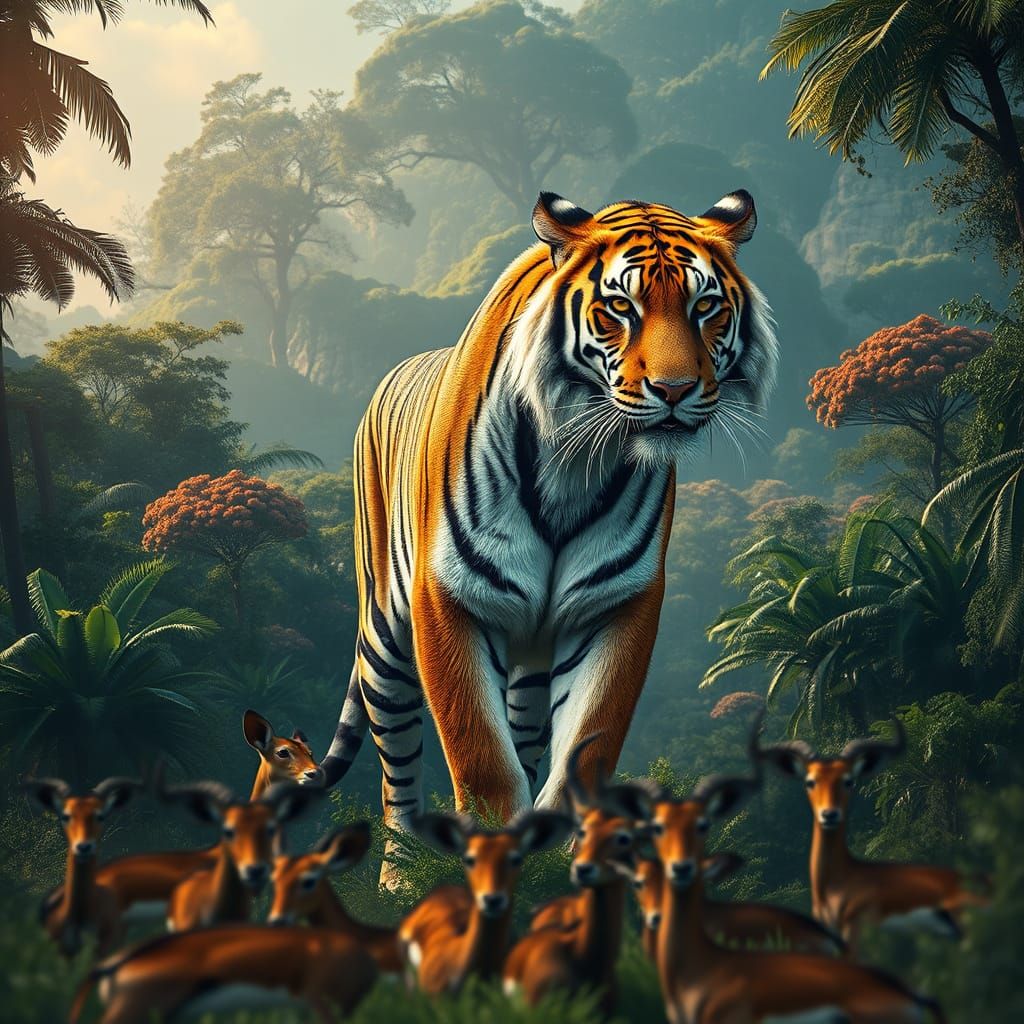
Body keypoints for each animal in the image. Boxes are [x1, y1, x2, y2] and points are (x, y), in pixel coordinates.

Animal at [320, 189, 778, 884]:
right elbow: (482, 761)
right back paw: (398, 874)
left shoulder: (615, 606)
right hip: (385, 640)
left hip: (531, 664)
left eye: (705, 307)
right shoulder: (446, 601)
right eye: (621, 307)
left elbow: (584, 753)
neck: (576, 462)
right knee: (397, 762)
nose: (675, 391)